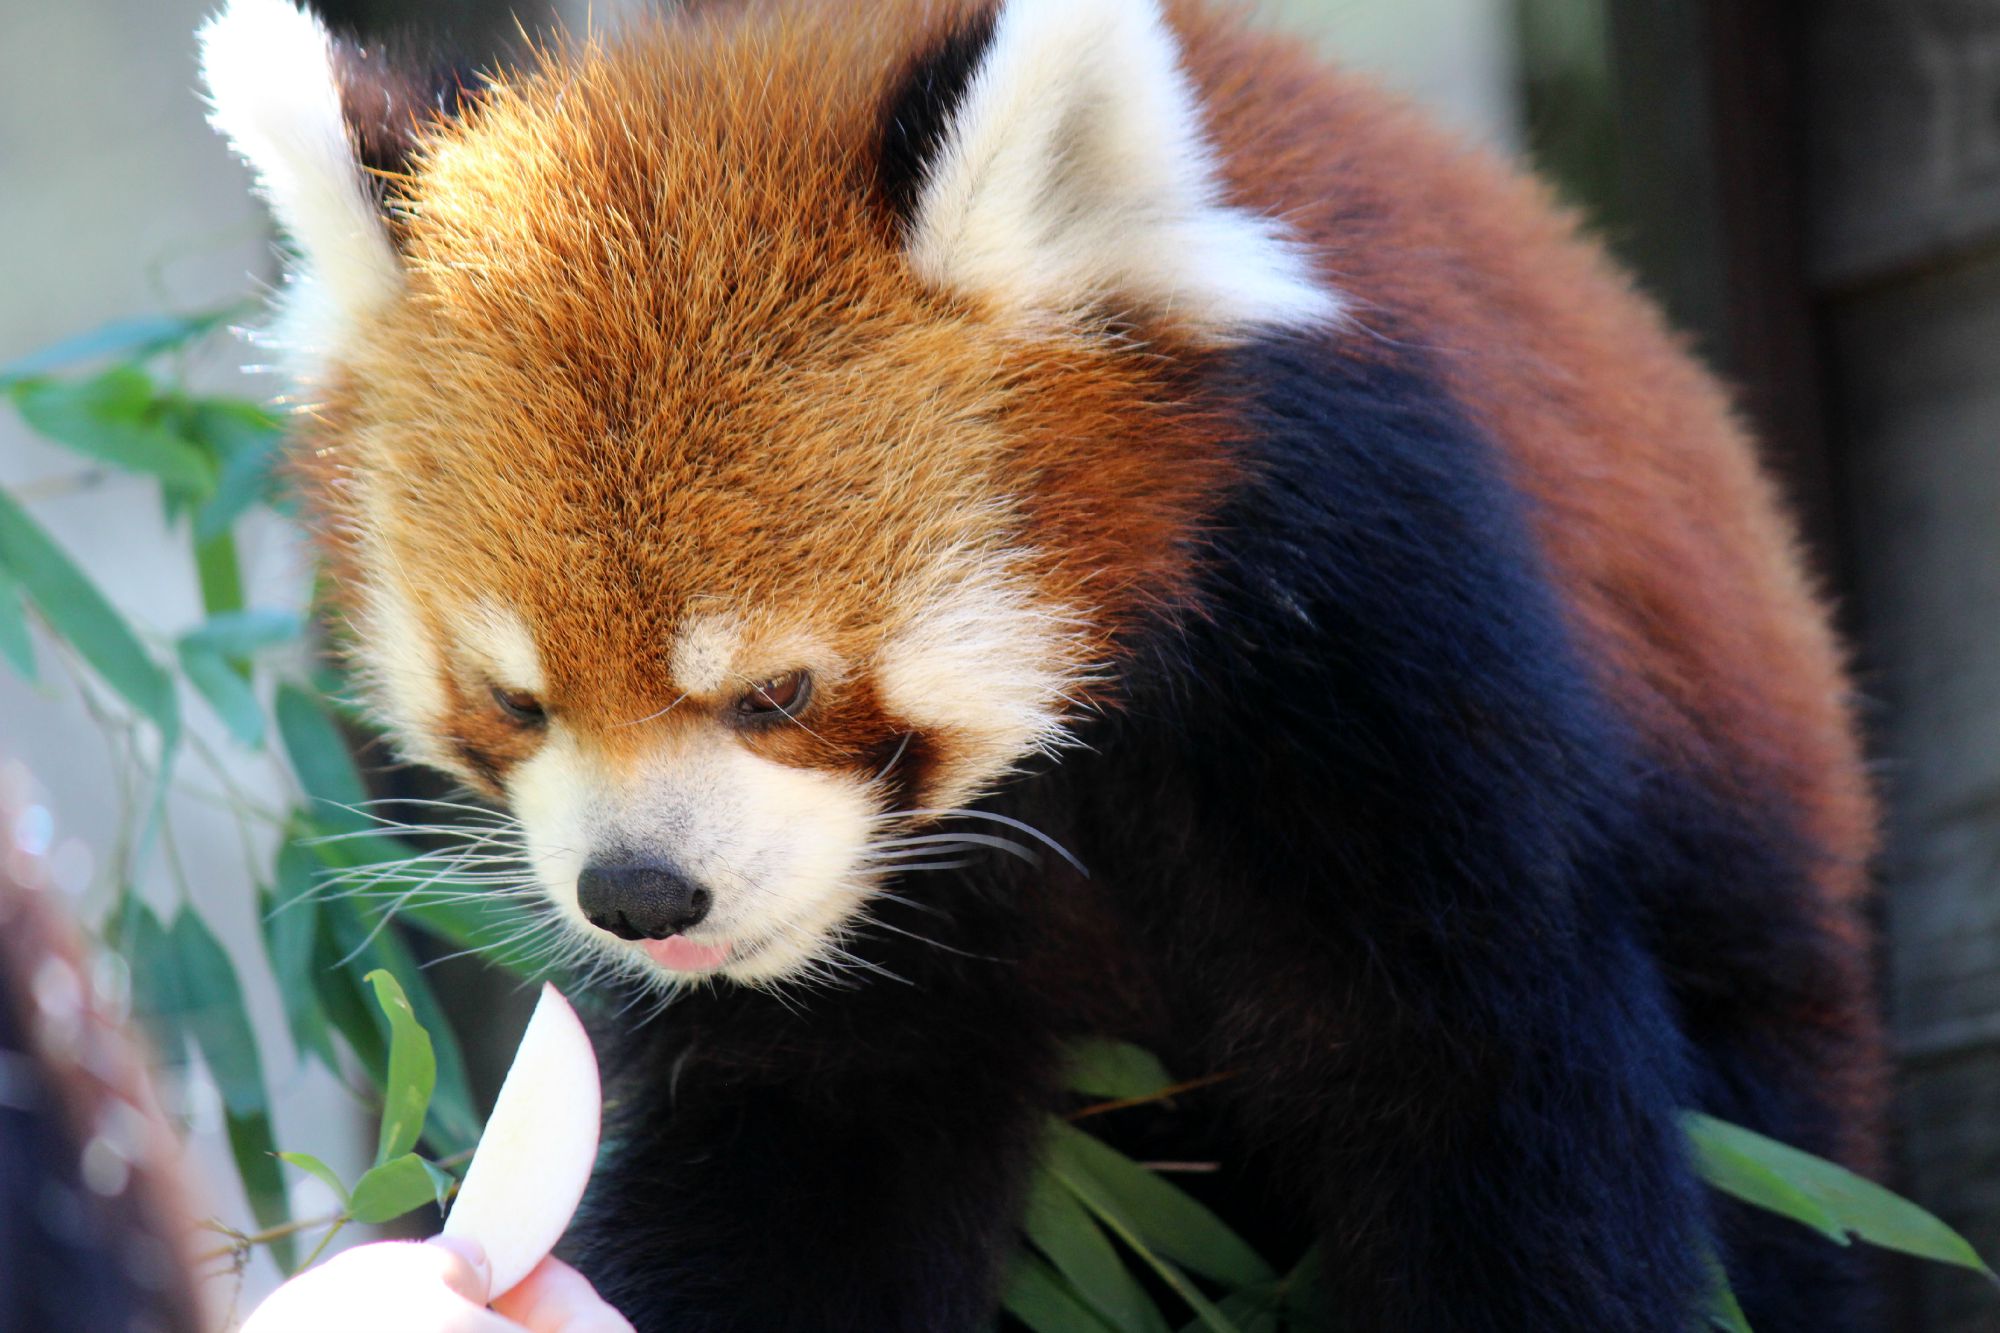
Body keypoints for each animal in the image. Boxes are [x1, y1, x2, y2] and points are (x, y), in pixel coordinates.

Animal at [195, 0, 1880, 1320]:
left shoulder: (1374, 632)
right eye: (517, 700)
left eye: (779, 691)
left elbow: (1486, 1090)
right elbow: (791, 1157)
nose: (640, 896)